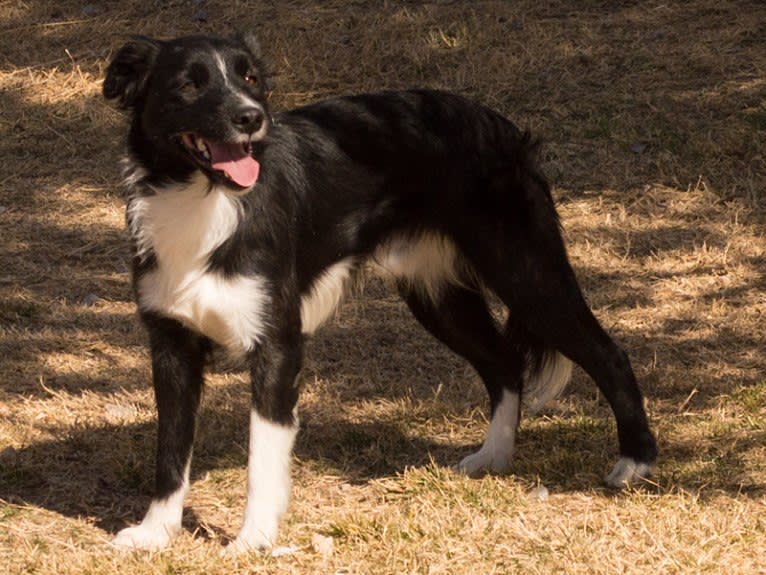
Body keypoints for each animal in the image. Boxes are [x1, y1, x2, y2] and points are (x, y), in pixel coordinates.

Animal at [103, 32, 660, 552]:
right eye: (189, 84)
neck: (202, 201)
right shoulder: (171, 344)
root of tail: (493, 121)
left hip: (527, 275)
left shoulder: (278, 346)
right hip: (437, 297)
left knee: (608, 354)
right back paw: (495, 456)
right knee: (504, 363)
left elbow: (262, 457)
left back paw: (636, 461)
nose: (251, 117)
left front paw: (254, 539)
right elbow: (170, 449)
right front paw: (155, 532)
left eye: (250, 79)